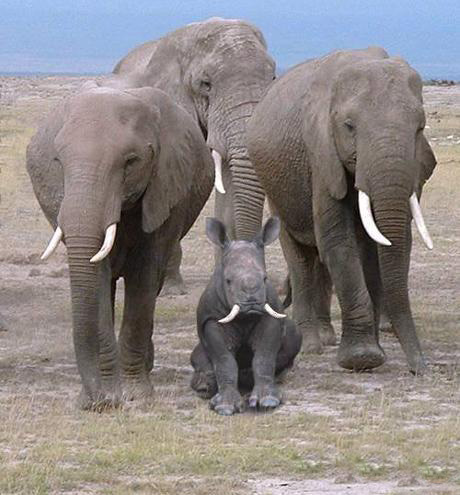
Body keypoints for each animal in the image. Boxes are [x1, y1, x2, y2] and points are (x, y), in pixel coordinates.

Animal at [26, 82, 214, 409]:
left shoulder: (164, 189)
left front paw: (136, 396)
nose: (95, 402)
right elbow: (97, 279)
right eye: (58, 163)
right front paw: (109, 396)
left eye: (130, 162)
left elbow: (144, 277)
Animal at [190, 217, 302, 415]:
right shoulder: (211, 319)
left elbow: (264, 356)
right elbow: (224, 359)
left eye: (265, 279)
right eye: (228, 281)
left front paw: (268, 401)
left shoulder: (270, 316)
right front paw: (225, 407)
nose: (251, 303)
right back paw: (204, 387)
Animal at [247, 47, 436, 374]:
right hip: (275, 187)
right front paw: (363, 359)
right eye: (349, 127)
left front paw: (375, 353)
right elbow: (338, 240)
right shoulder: (321, 154)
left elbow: (380, 245)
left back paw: (325, 337)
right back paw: (311, 345)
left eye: (420, 128)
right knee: (300, 257)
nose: (420, 368)